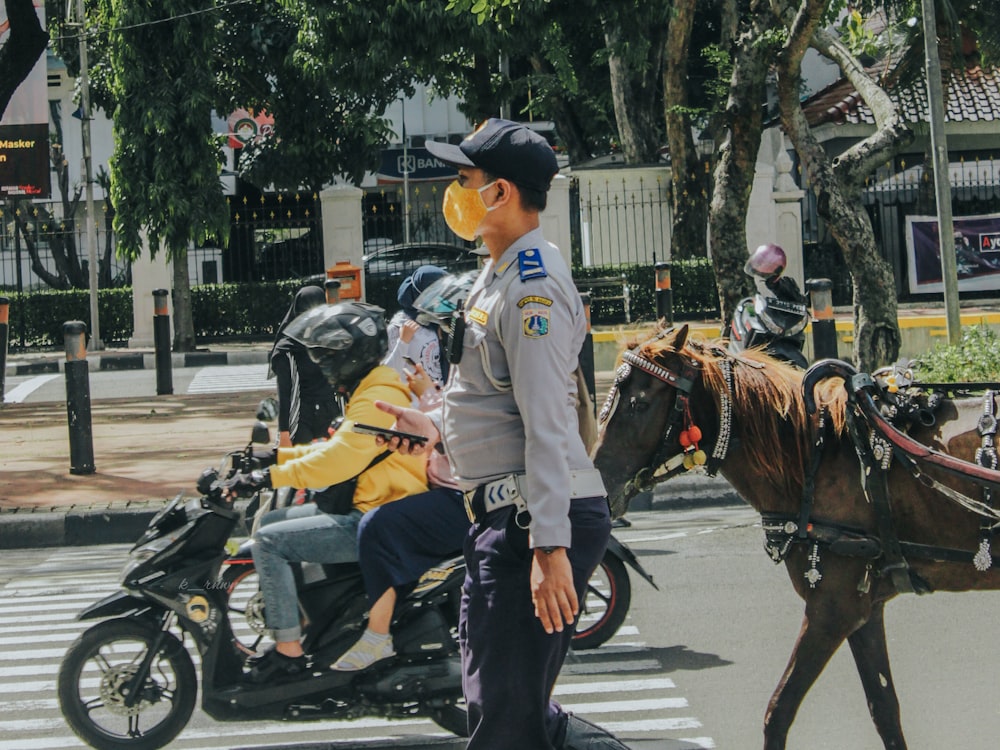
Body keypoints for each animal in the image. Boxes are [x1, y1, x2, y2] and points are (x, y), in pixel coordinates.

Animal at [588, 324, 1000, 750]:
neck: (818, 454)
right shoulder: (863, 608)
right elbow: (884, 710)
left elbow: (779, 711)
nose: (598, 486)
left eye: (637, 405)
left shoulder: (832, 609)